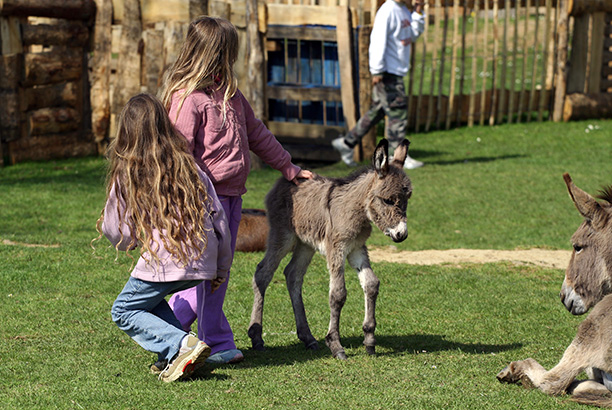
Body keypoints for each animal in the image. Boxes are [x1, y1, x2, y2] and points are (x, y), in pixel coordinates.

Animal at [247, 139, 412, 358]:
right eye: (388, 200)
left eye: (407, 198)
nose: (402, 234)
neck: (356, 210)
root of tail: (283, 181)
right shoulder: (337, 248)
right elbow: (338, 294)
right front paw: (335, 345)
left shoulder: (357, 248)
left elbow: (371, 284)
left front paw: (369, 339)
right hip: (283, 237)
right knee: (263, 273)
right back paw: (257, 337)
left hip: (306, 243)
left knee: (293, 274)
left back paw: (307, 338)